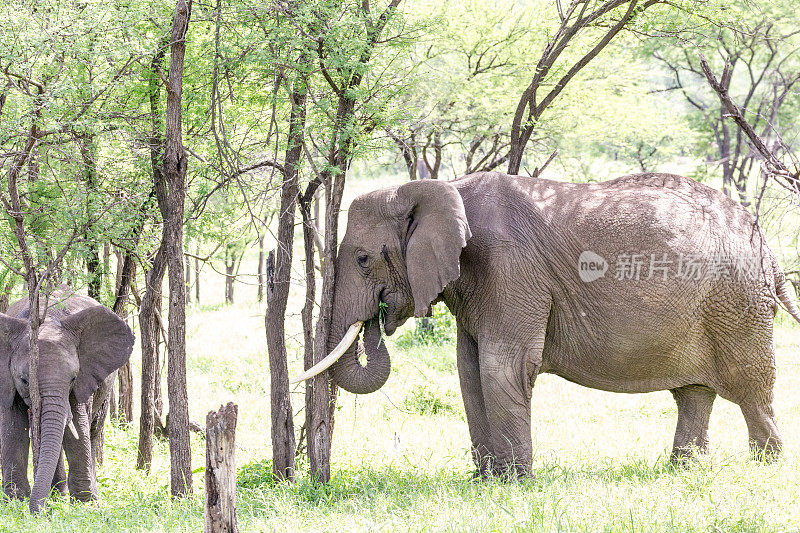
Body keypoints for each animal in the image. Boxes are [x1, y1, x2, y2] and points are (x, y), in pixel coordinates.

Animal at [0, 286, 134, 512]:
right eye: (24, 380)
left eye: (73, 378)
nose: (40, 512)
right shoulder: (8, 382)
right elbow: (14, 429)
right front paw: (15, 502)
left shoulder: (84, 378)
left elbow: (77, 431)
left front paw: (86, 505)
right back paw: (57, 495)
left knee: (93, 430)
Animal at [296, 171, 800, 478]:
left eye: (363, 259)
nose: (378, 318)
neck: (438, 188)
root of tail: (767, 248)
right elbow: (469, 371)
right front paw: (486, 482)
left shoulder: (509, 268)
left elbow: (501, 367)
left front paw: (516, 485)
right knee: (694, 395)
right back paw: (682, 472)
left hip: (737, 304)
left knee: (752, 391)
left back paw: (765, 470)